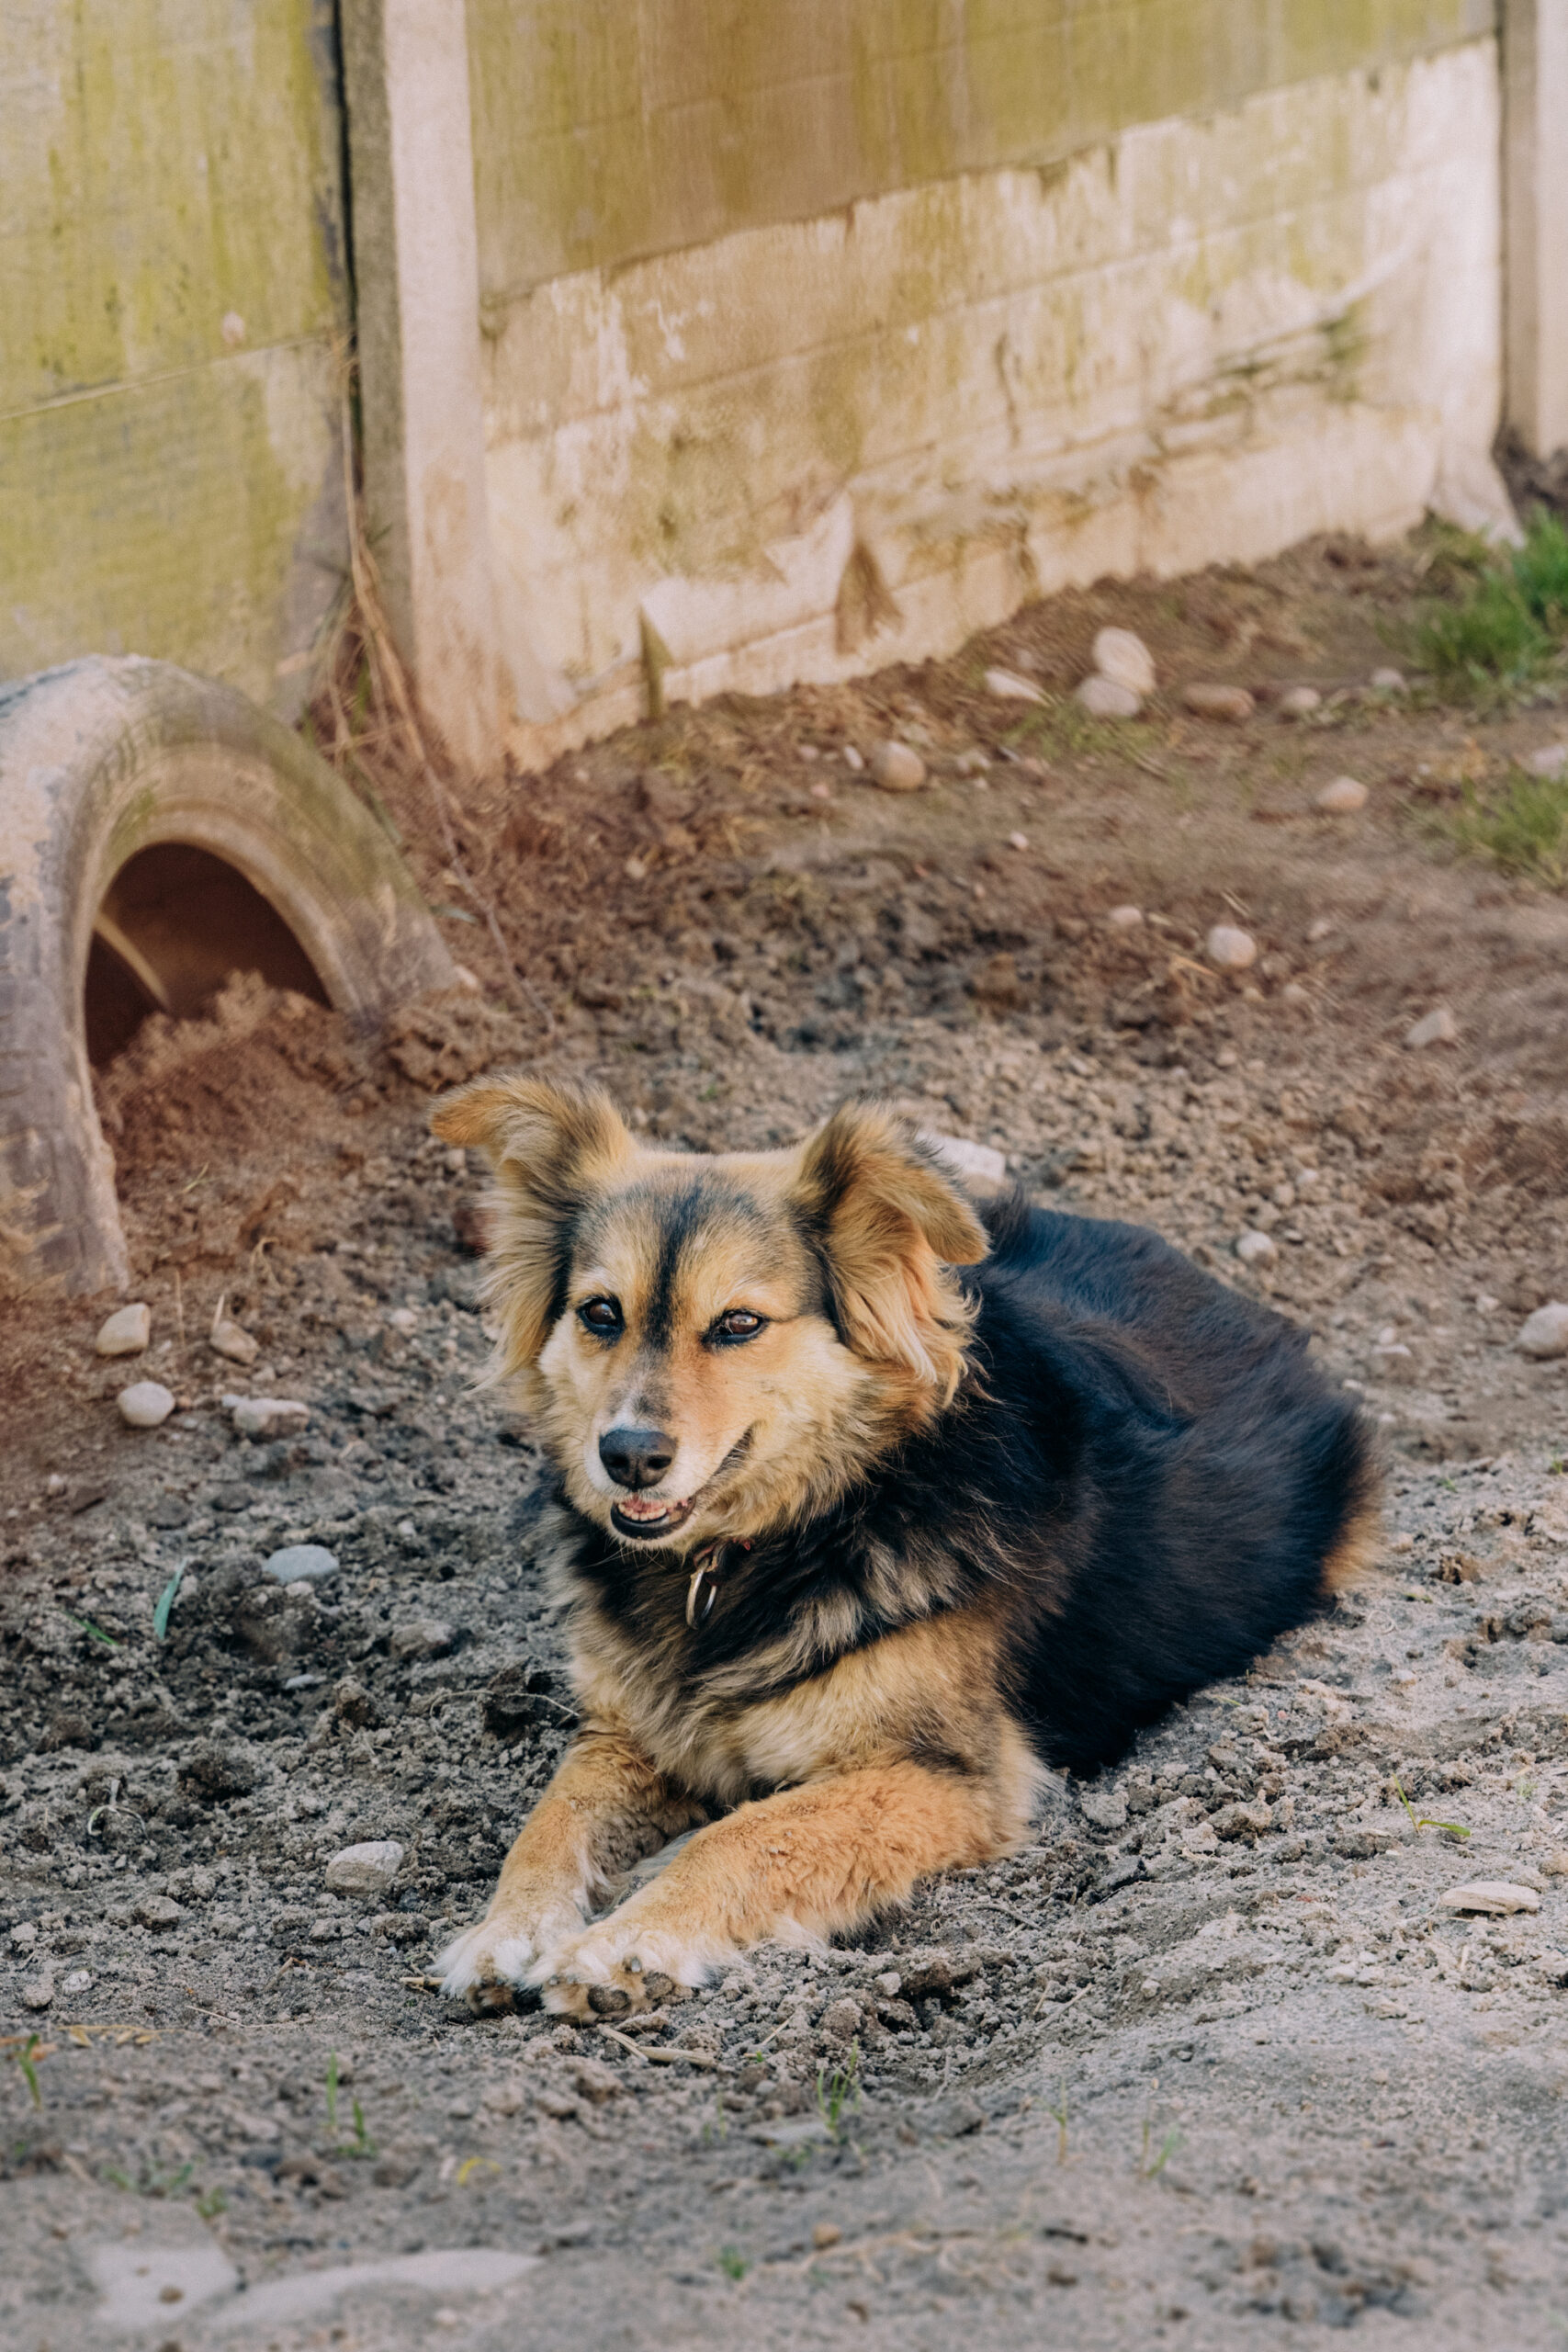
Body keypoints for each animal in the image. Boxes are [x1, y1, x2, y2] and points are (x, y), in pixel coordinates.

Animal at [429, 1078, 1375, 2018]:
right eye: (599, 1314)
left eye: (738, 1323)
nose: (626, 1454)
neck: (788, 1533)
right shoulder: (627, 1731)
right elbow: (551, 1820)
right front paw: (505, 1930)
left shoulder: (946, 1777)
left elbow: (745, 1834)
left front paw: (625, 1941)